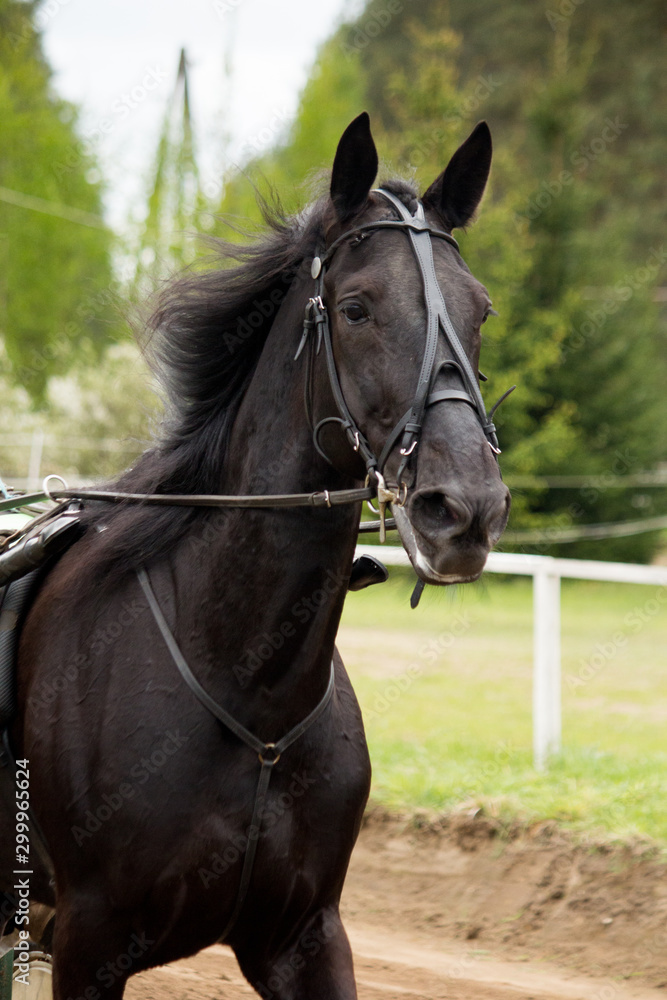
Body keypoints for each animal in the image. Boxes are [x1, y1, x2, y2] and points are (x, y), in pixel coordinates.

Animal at [1, 112, 510, 998]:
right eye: (355, 308)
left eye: (478, 311)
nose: (465, 509)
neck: (249, 684)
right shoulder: (88, 940)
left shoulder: (304, 933)